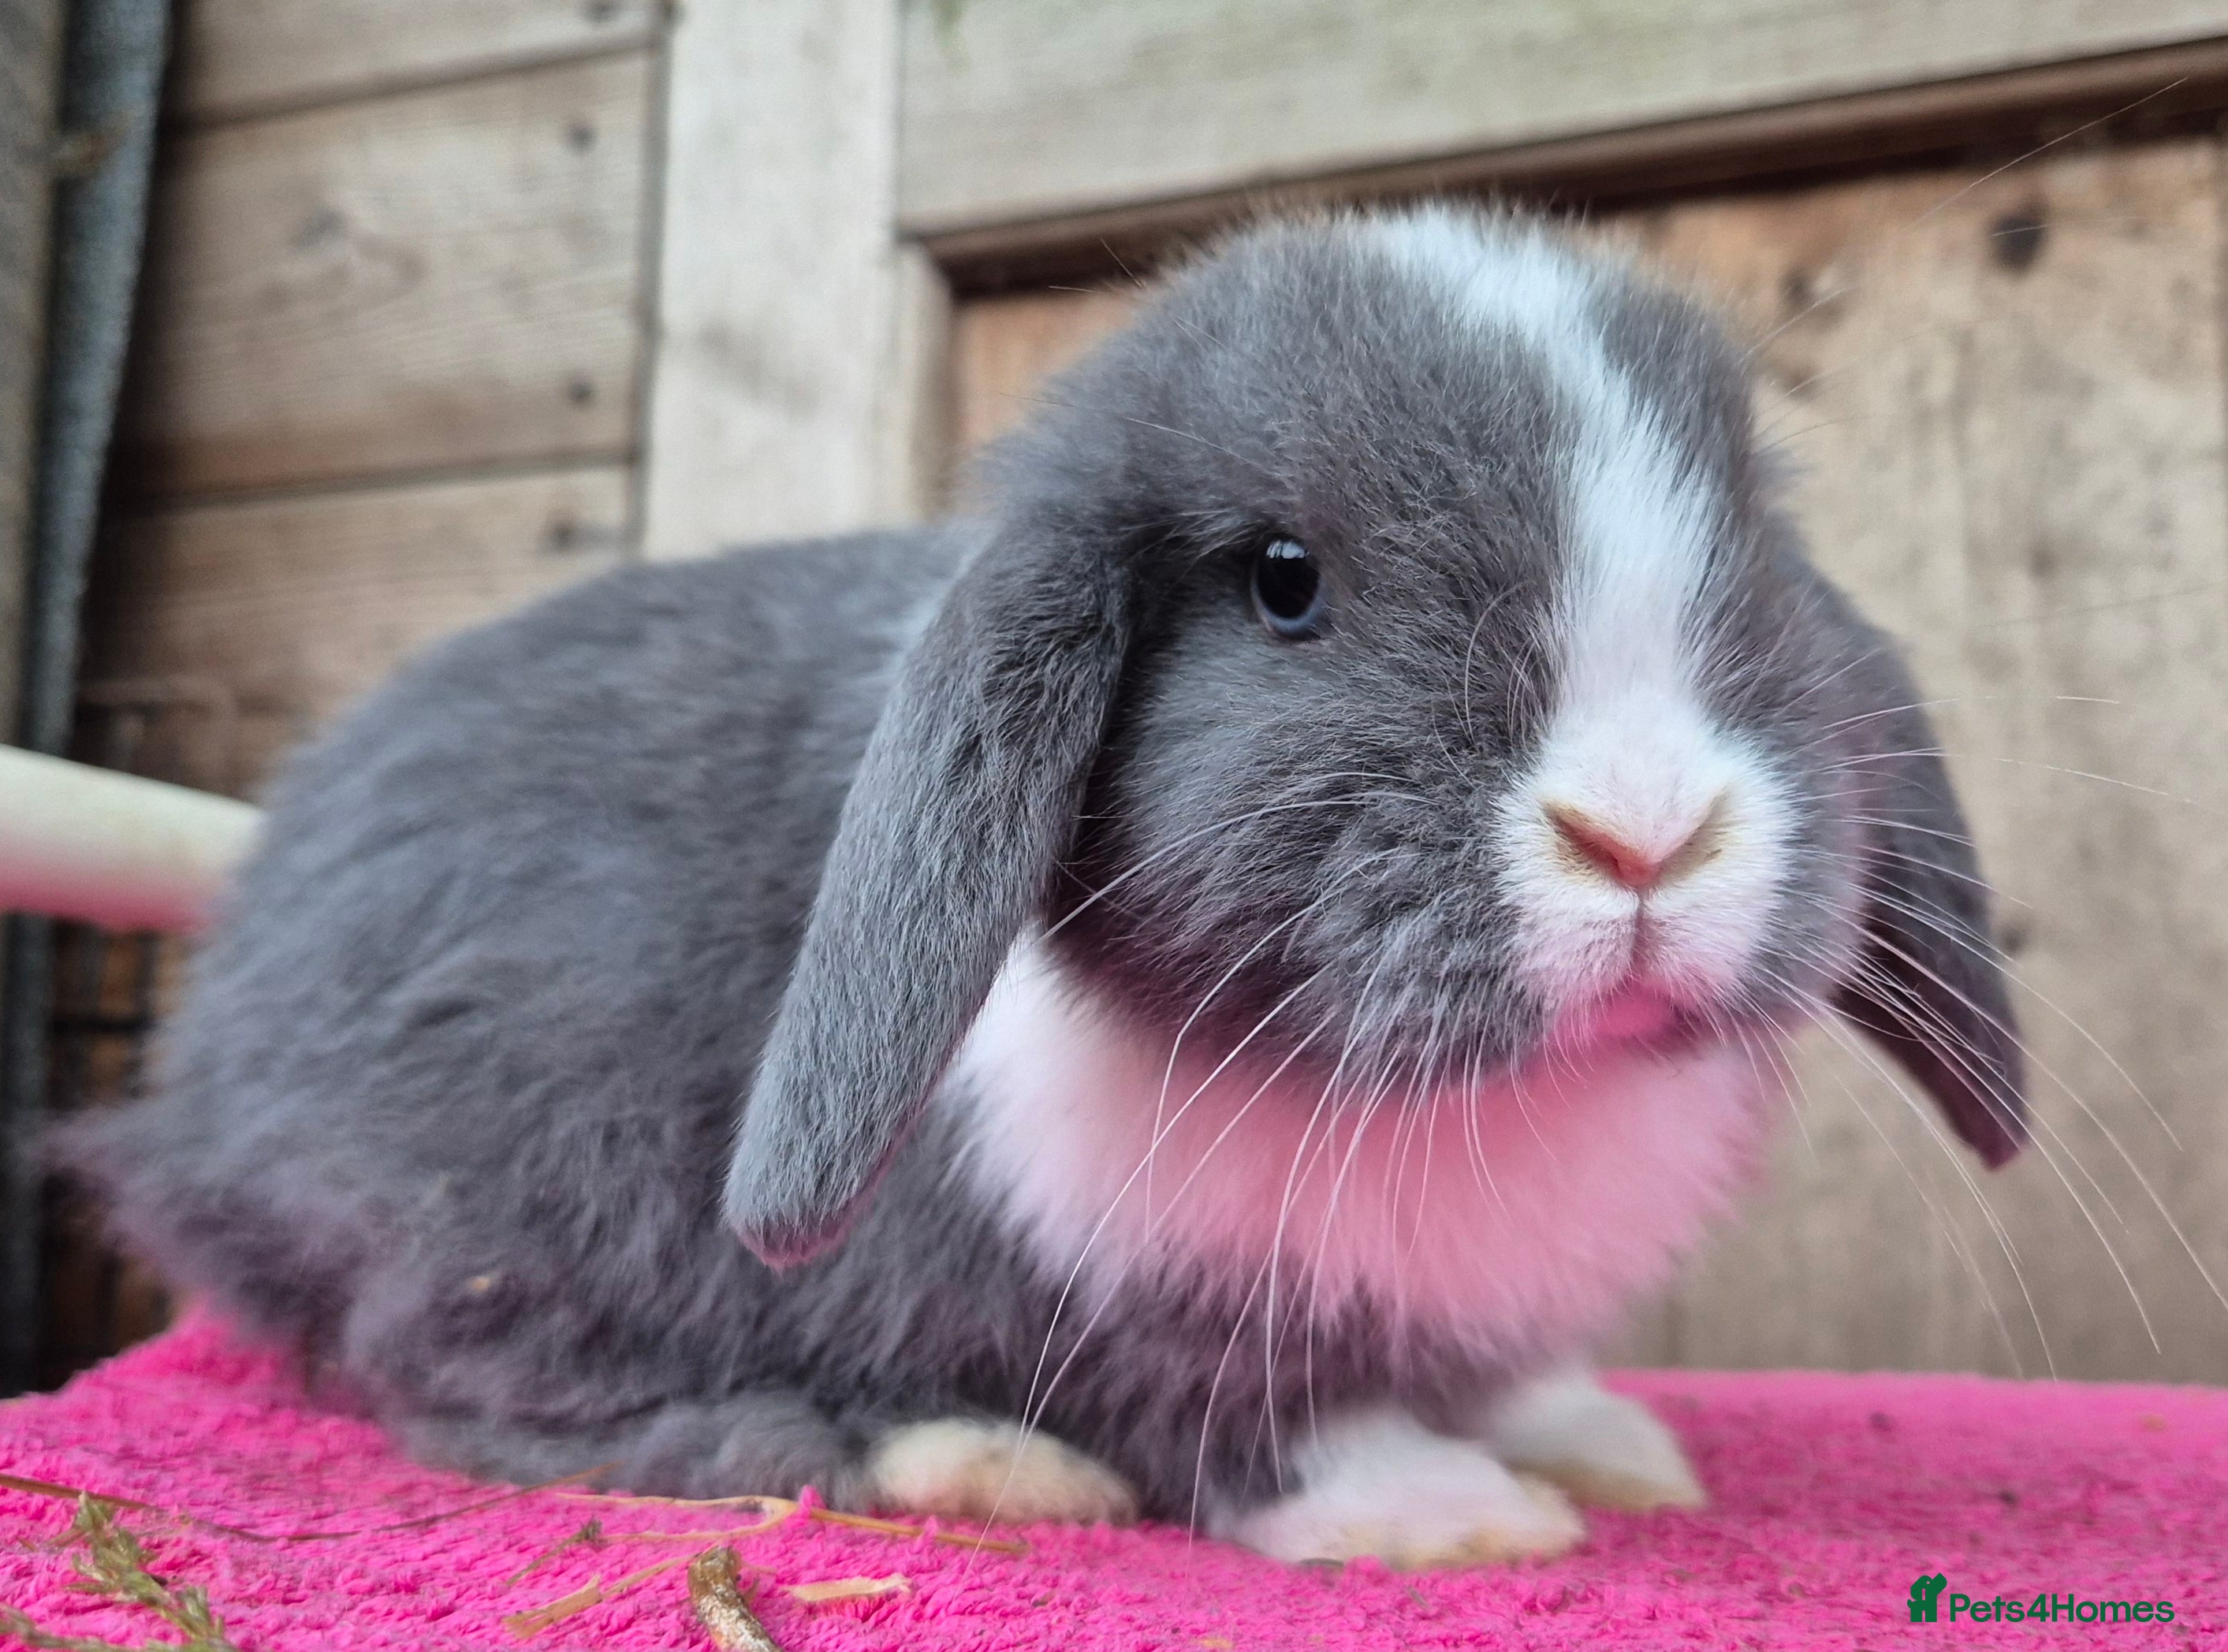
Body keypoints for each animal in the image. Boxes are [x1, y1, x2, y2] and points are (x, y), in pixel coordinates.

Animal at [63, 203, 2025, 1568]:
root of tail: (203, 1070)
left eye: (1751, 561)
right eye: (1287, 582)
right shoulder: (1114, 1287)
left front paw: (1600, 1441)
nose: (1647, 831)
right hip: (524, 1192)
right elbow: (1246, 1417)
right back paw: (963, 1461)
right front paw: (1451, 1511)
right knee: (473, 1384)